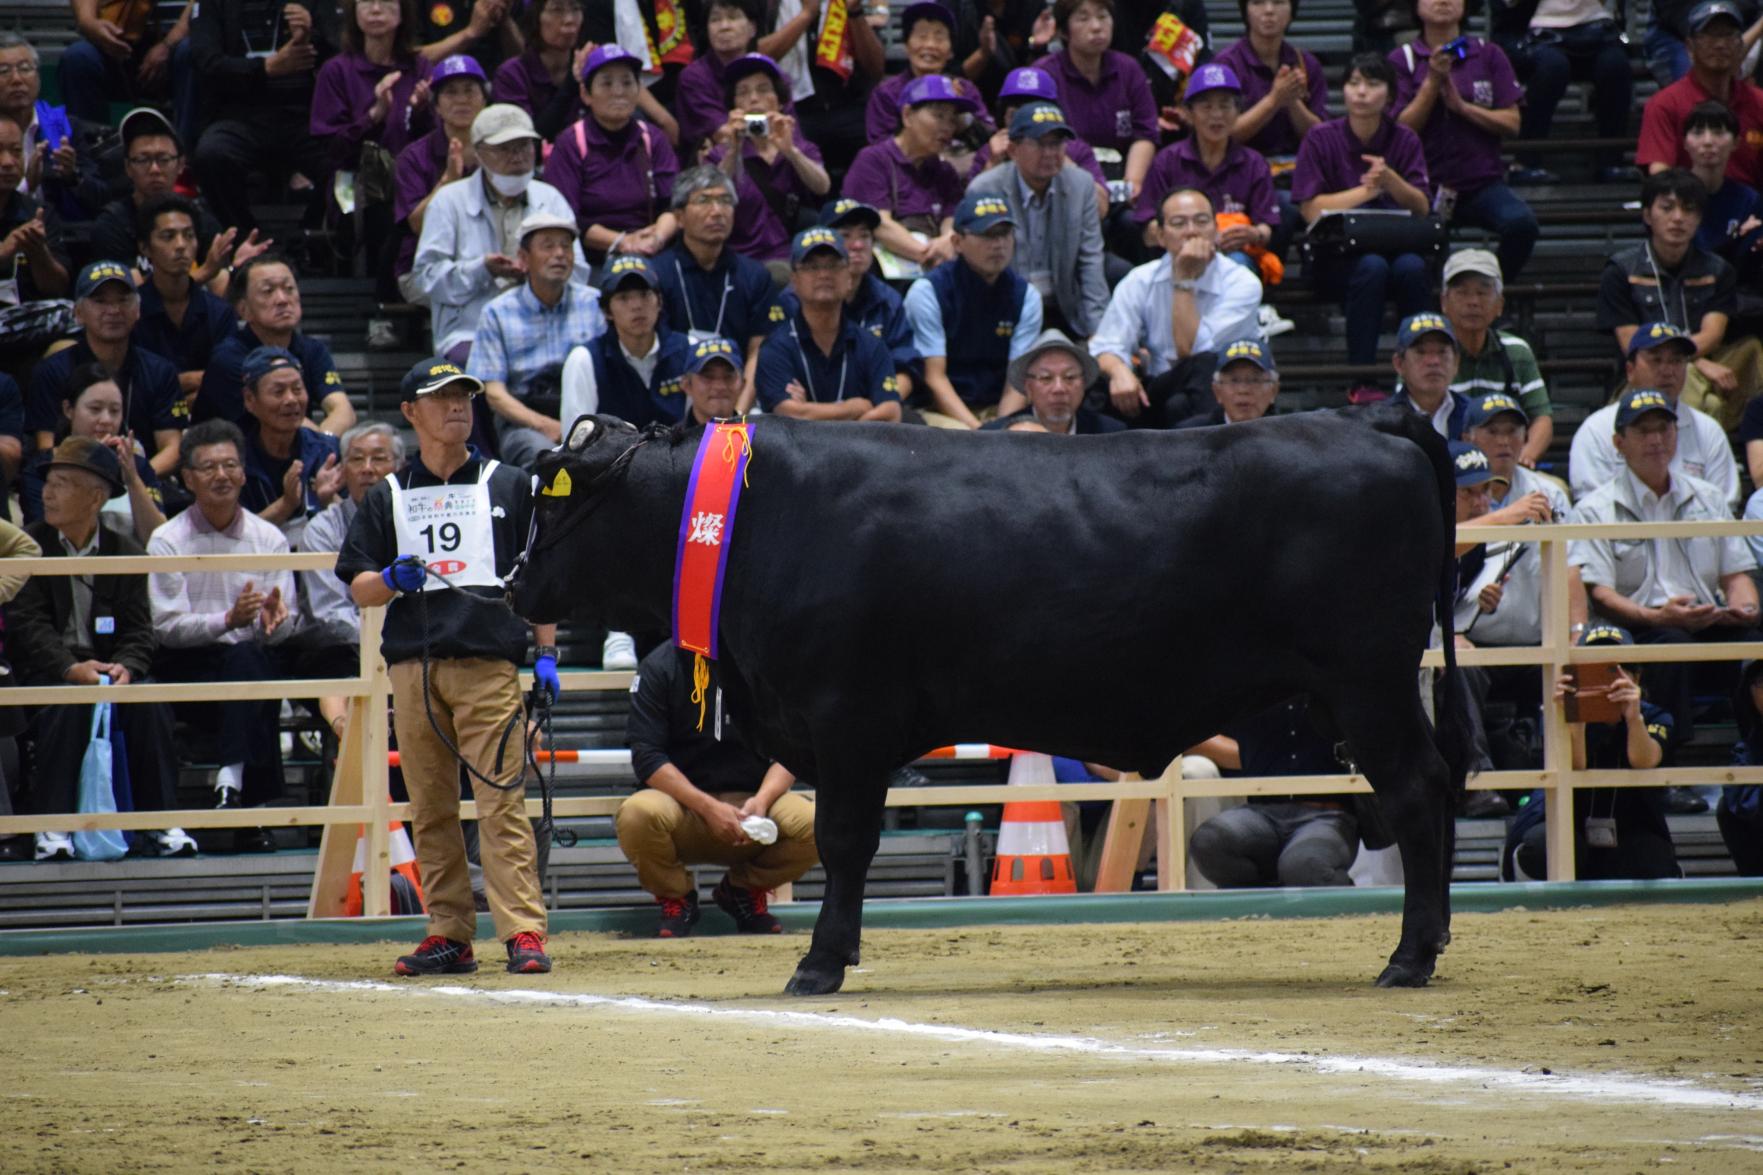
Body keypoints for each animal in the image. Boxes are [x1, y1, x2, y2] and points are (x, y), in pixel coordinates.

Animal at [511, 407, 1473, 995]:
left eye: (548, 501)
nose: (515, 587)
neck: (749, 517)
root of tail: (1359, 416)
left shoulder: (846, 716)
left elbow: (845, 842)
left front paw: (821, 963)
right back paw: (1429, 944)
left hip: (1366, 679)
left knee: (1417, 789)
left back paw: (1408, 954)